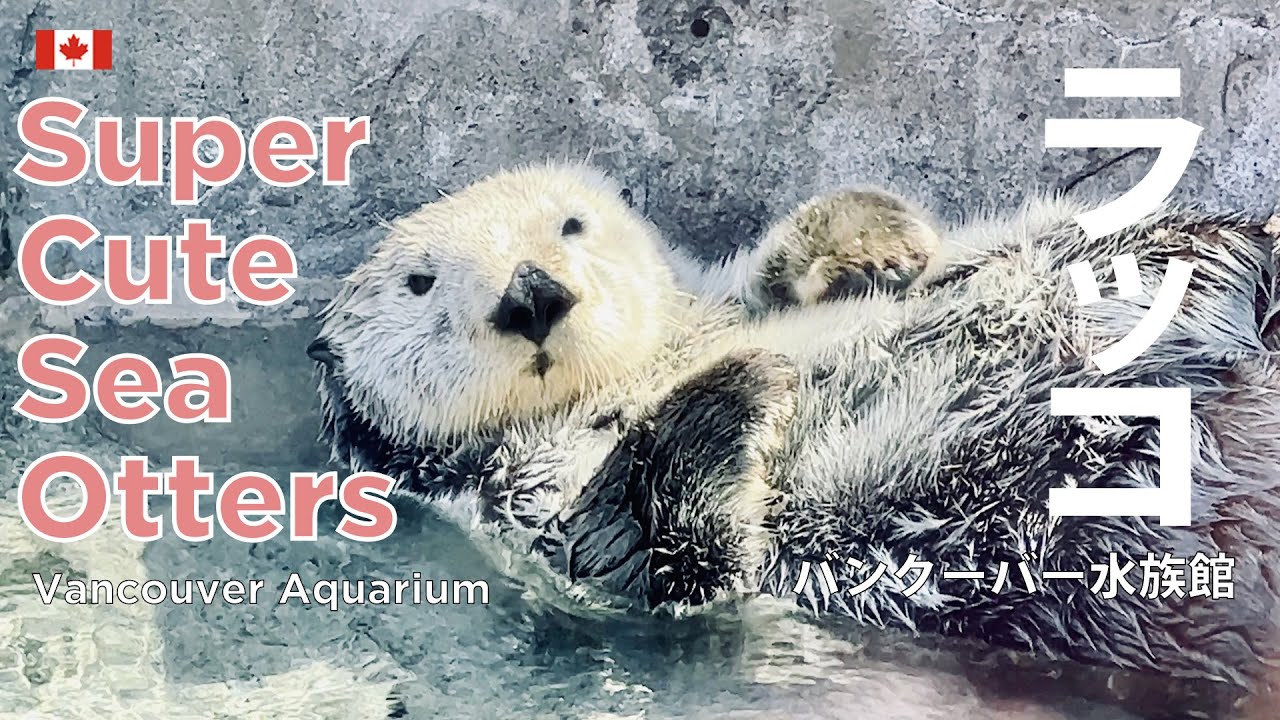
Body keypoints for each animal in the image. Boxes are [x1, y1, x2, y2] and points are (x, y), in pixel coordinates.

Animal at [309, 164, 1280, 692]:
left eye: (571, 224)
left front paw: (876, 242)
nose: (531, 294)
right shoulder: (521, 502)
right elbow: (644, 549)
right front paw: (746, 385)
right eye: (420, 283)